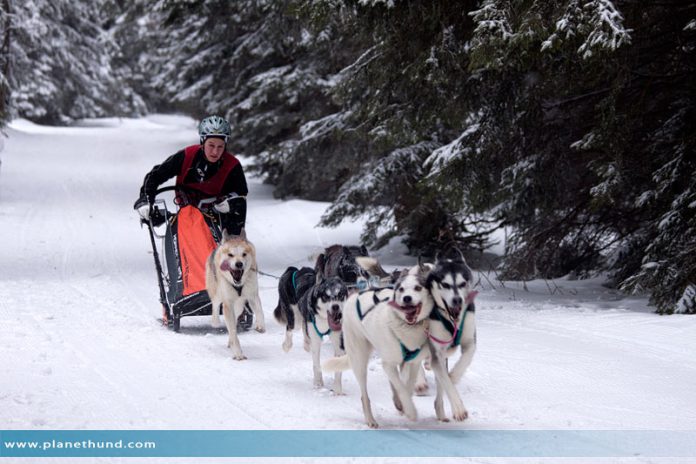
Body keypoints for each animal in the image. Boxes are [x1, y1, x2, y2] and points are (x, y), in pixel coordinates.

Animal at [205, 228, 266, 358]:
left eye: (244, 254)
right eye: (230, 255)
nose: (239, 264)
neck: (238, 284)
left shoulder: (252, 295)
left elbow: (259, 311)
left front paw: (260, 326)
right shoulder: (227, 303)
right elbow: (233, 331)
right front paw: (238, 353)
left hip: (239, 306)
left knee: (235, 317)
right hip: (217, 293)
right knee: (215, 304)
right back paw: (215, 322)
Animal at [272, 266, 348, 394]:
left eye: (340, 295)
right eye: (326, 296)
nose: (336, 307)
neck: (324, 321)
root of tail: (293, 270)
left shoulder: (339, 341)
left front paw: (337, 389)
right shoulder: (316, 340)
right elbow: (316, 364)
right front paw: (318, 383)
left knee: (304, 328)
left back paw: (307, 343)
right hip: (295, 319)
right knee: (291, 328)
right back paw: (287, 345)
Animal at [324, 264, 432, 428]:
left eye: (418, 288)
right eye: (401, 289)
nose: (407, 299)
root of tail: (353, 297)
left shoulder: (412, 363)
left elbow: (406, 386)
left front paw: (404, 404)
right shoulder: (389, 363)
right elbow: (401, 387)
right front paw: (410, 411)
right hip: (360, 361)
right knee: (364, 395)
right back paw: (370, 419)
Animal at [424, 248, 478, 422]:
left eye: (462, 284)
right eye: (445, 284)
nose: (457, 300)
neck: (453, 321)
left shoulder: (470, 342)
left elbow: (464, 361)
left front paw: (454, 376)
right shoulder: (437, 351)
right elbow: (446, 383)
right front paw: (459, 409)